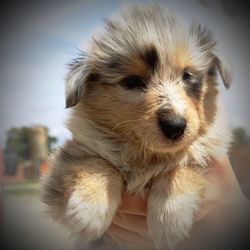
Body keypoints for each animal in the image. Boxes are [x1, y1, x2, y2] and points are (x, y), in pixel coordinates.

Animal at [42, 3, 231, 250]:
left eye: (187, 75)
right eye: (132, 81)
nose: (175, 126)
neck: (147, 155)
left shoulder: (209, 149)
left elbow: (187, 162)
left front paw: (169, 216)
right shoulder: (68, 161)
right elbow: (96, 162)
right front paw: (88, 209)